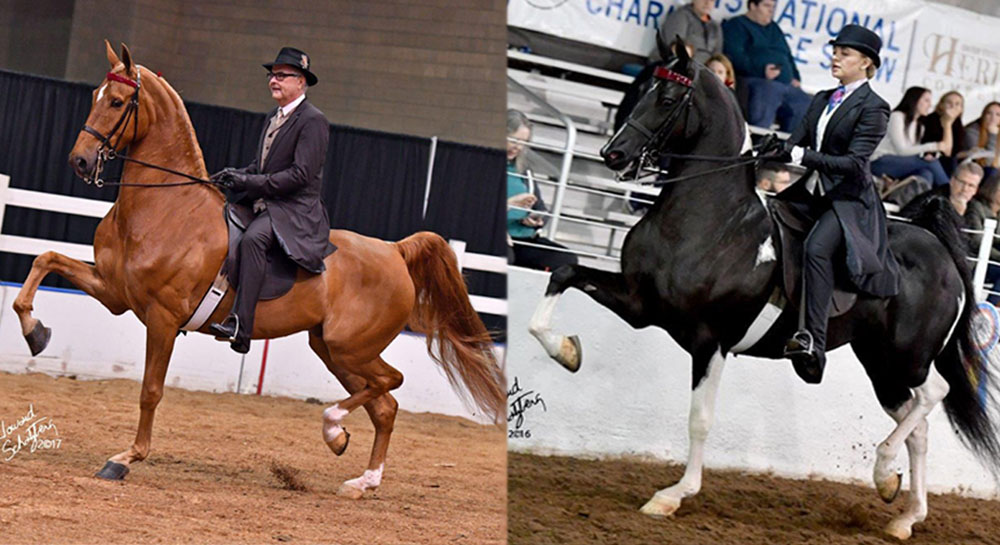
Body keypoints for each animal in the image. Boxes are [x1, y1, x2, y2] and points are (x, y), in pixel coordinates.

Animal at [10, 41, 505, 498]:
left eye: (116, 102)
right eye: (95, 95)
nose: (79, 161)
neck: (166, 206)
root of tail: (394, 251)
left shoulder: (163, 318)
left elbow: (150, 390)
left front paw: (125, 458)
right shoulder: (114, 292)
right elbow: (43, 260)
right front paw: (36, 333)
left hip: (350, 347)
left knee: (391, 383)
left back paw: (334, 429)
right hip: (332, 348)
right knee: (385, 405)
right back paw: (360, 476)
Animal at [527, 43, 1000, 540]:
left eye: (668, 99)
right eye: (641, 90)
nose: (613, 153)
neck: (709, 219)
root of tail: (940, 250)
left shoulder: (710, 340)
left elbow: (700, 420)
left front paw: (674, 495)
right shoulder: (640, 305)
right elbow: (563, 273)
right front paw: (566, 350)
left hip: (905, 356)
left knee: (934, 394)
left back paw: (884, 470)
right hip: (879, 363)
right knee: (919, 425)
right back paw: (904, 513)